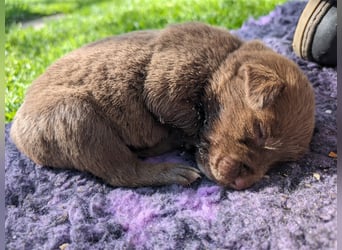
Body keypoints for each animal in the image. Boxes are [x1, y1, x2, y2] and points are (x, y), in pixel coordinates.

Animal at [10, 22, 316, 189]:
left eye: (279, 163)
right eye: (259, 131)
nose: (242, 183)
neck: (222, 60)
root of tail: (14, 129)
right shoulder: (169, 77)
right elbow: (177, 112)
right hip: (78, 118)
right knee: (121, 171)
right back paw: (170, 169)